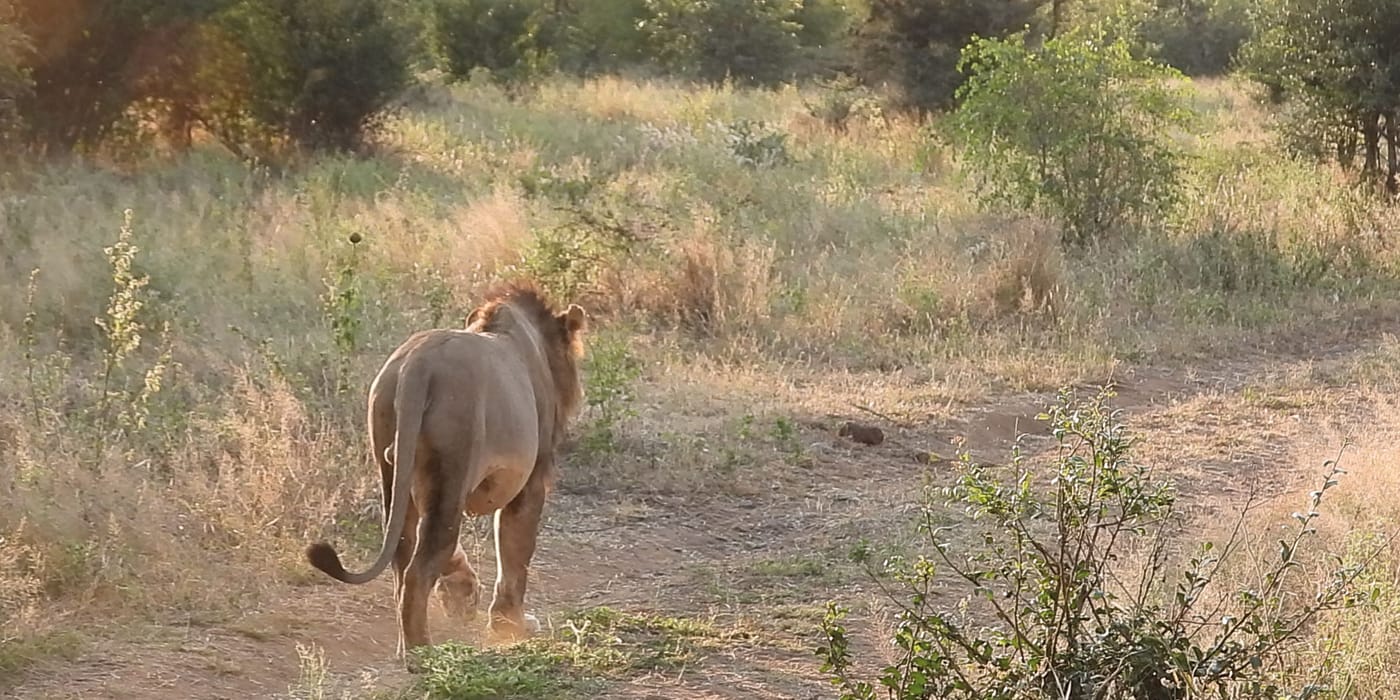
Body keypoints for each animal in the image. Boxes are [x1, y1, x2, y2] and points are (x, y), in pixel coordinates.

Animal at [305, 283, 587, 666]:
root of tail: (418, 365)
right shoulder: (530, 483)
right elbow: (515, 554)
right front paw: (511, 625)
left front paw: (463, 595)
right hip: (452, 468)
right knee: (419, 568)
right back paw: (423, 654)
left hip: (395, 474)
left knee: (404, 556)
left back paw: (408, 644)